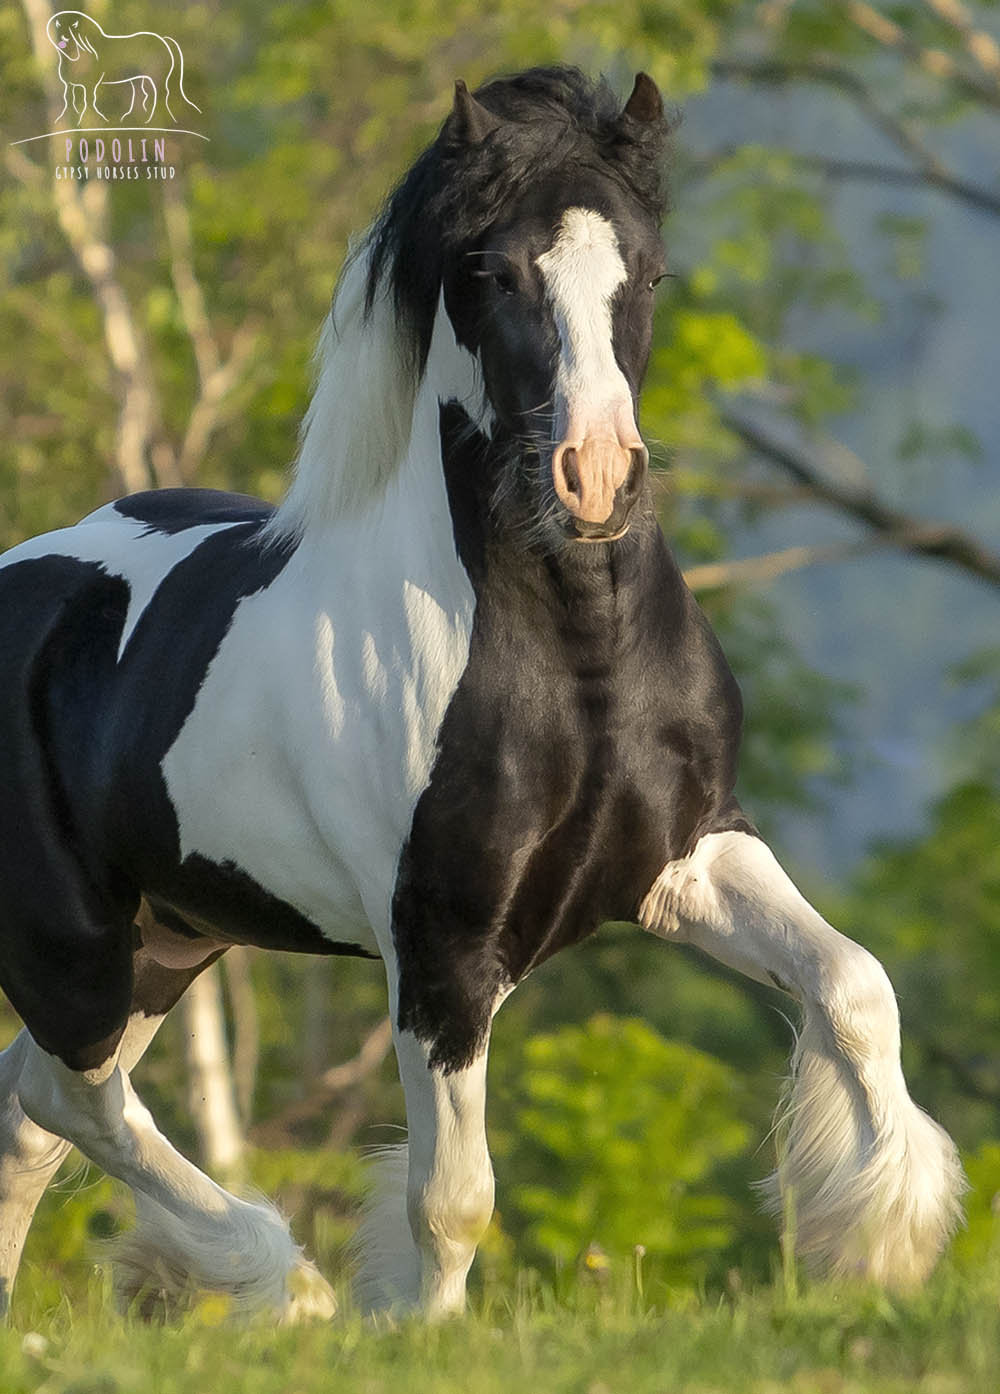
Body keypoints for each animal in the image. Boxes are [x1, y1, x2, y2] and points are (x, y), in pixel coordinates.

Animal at [0, 70, 965, 1321]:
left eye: (649, 270)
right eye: (496, 272)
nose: (595, 480)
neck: (577, 670)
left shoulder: (687, 858)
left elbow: (853, 985)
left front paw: (882, 1243)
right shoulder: (444, 943)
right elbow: (451, 1196)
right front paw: (415, 1326)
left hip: (168, 936)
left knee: (35, 1115)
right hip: (71, 935)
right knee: (73, 1098)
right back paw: (282, 1281)